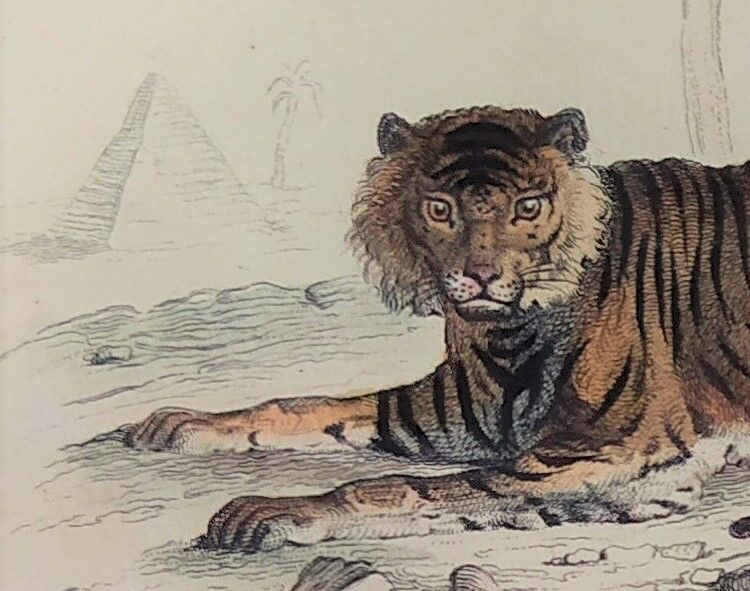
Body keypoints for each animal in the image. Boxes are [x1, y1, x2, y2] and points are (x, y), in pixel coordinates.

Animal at [125, 105, 750, 553]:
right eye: (440, 208)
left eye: (527, 207)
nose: (481, 276)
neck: (506, 333)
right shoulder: (458, 410)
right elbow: (308, 405)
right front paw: (179, 423)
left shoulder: (625, 453)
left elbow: (423, 487)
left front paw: (274, 510)